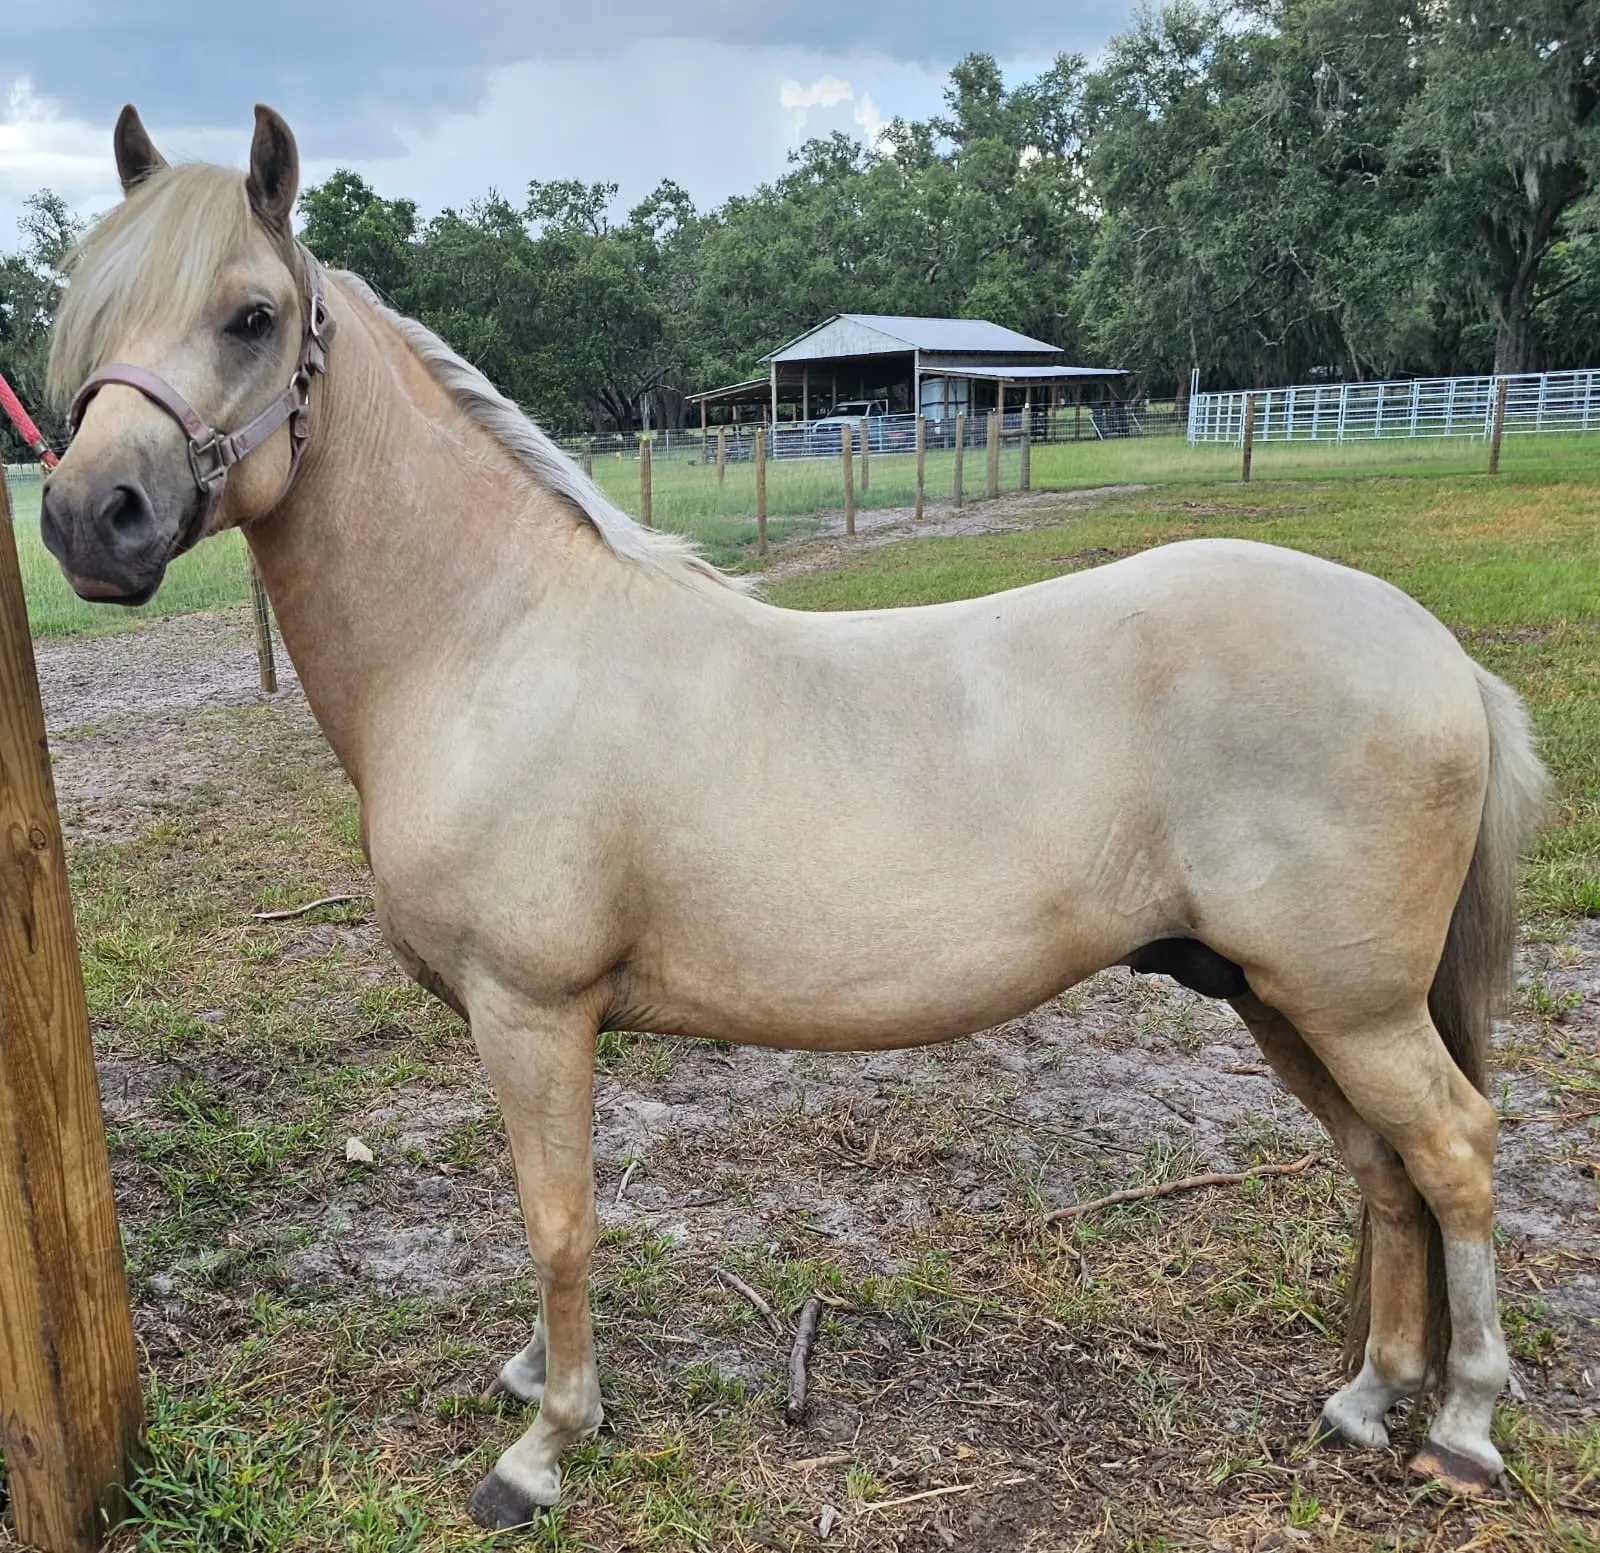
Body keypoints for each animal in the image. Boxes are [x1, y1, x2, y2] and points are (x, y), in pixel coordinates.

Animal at [40, 105, 1546, 1531]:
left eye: (250, 314)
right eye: (94, 315)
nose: (87, 519)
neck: (489, 643)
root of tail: (1437, 653)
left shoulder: (533, 1010)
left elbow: (557, 1220)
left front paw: (545, 1444)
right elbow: (541, 1216)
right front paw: (533, 1379)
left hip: (1347, 1003)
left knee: (1455, 1152)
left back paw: (1463, 1427)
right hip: (1272, 993)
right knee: (1385, 1170)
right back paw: (1368, 1398)